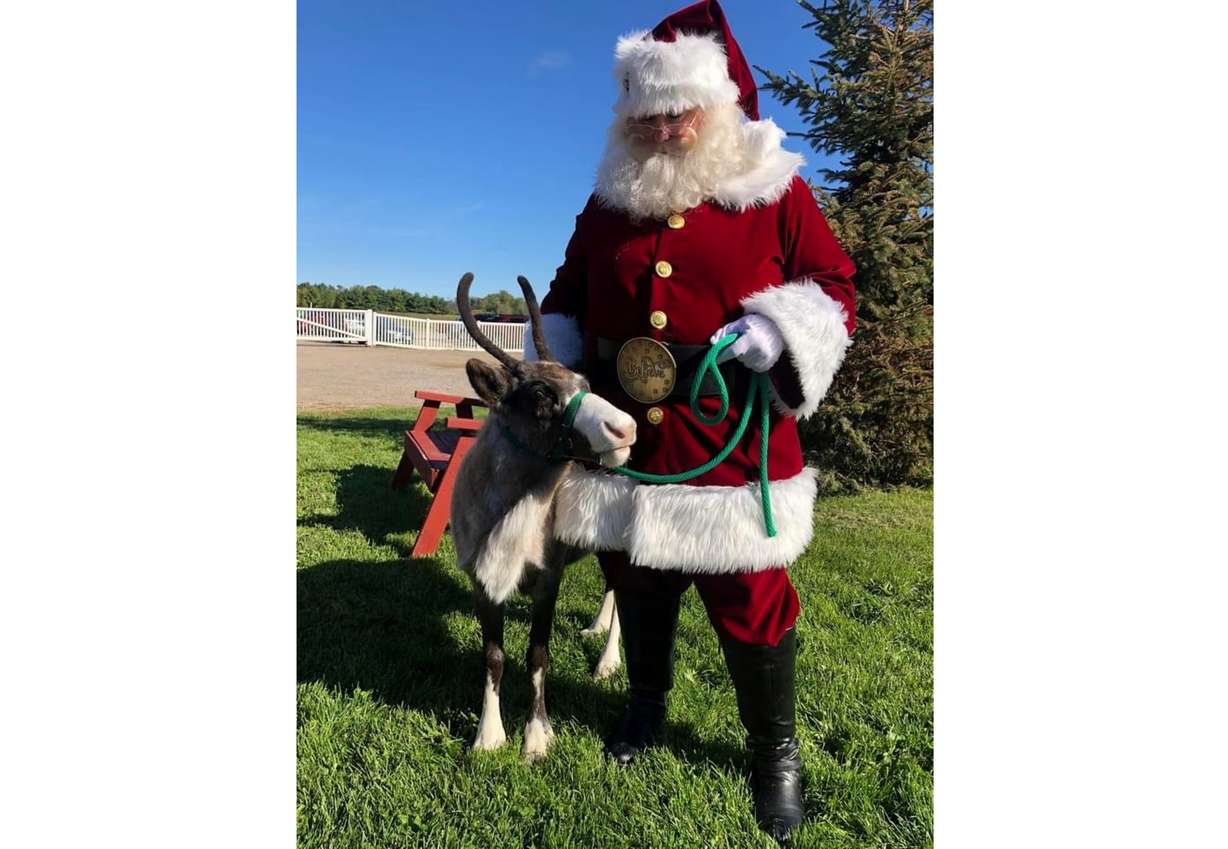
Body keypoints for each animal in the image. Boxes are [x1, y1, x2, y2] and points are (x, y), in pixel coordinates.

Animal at [449, 272, 637, 760]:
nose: (625, 429)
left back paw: (607, 662)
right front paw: (488, 737)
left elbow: (537, 656)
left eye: (584, 381)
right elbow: (494, 656)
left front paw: (536, 738)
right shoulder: (481, 581)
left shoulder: (548, 578)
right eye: (540, 394)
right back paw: (594, 627)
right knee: (612, 587)